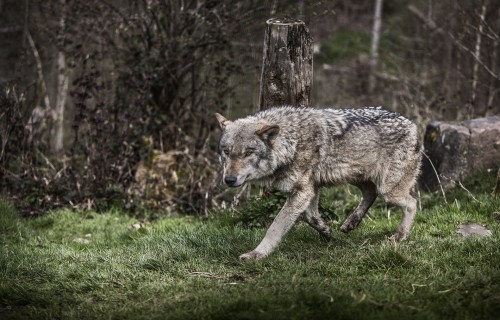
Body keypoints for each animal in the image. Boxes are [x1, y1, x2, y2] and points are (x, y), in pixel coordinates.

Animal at [215, 106, 422, 262]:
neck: (292, 141)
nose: (229, 179)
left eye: (248, 153)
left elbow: (275, 226)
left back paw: (400, 236)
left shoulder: (303, 191)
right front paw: (327, 231)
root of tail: (413, 124)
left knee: (412, 203)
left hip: (388, 190)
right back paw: (350, 223)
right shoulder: (310, 189)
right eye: (226, 152)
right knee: (371, 193)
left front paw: (257, 254)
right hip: (356, 178)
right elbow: (310, 217)